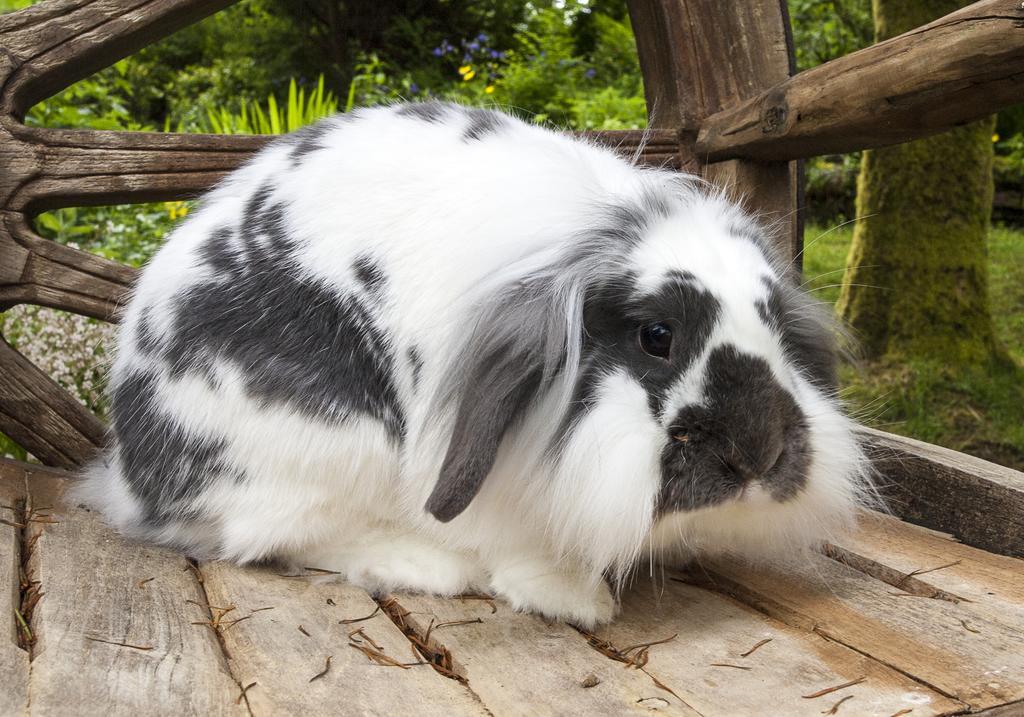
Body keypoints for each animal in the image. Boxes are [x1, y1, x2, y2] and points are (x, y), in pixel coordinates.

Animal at [74, 100, 872, 626]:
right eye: (656, 335)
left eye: (775, 323)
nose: (758, 456)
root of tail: (131, 481)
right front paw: (573, 598)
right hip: (323, 442)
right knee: (273, 532)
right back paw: (426, 565)